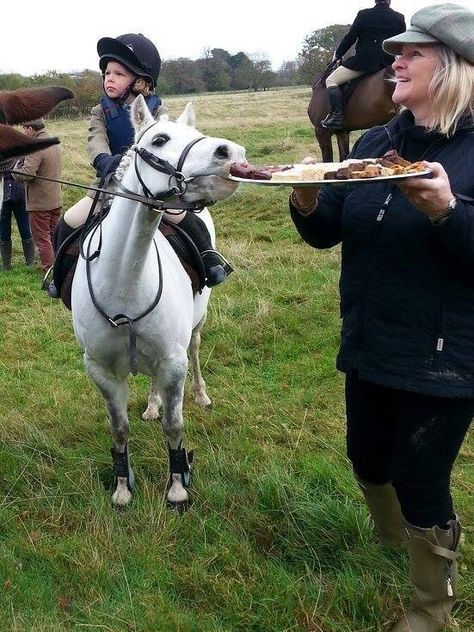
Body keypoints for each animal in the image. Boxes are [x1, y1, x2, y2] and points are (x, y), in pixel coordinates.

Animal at [72, 96, 246, 512]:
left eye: (196, 134)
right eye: (160, 139)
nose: (231, 155)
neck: (124, 278)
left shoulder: (173, 361)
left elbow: (174, 425)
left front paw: (178, 486)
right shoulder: (101, 370)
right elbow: (119, 429)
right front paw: (122, 487)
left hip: (195, 330)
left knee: (196, 352)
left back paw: (201, 395)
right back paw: (151, 405)